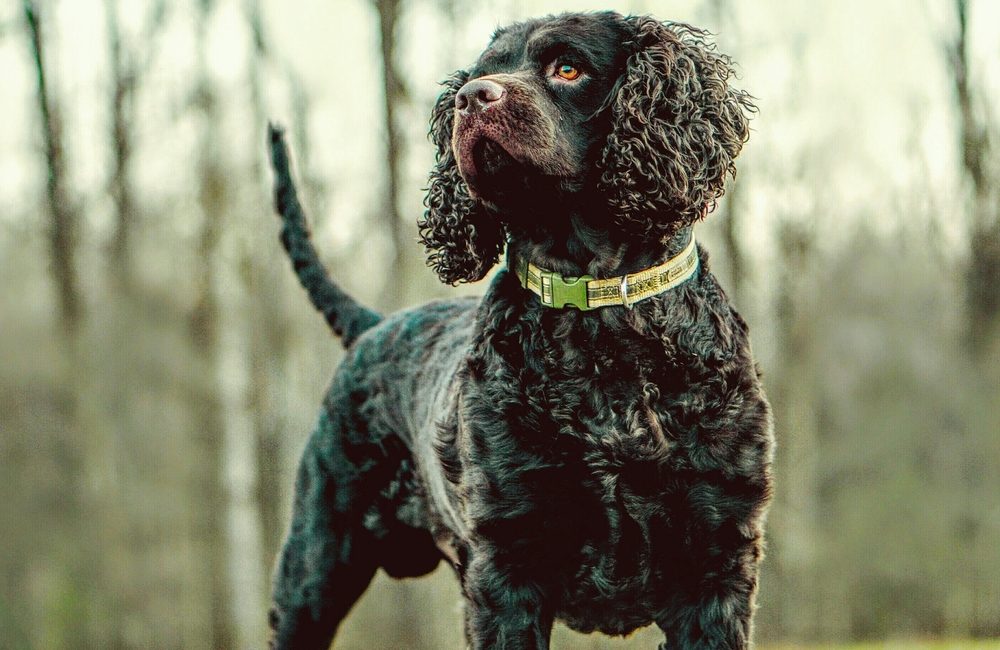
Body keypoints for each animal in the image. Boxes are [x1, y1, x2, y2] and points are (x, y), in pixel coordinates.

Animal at [266, 10, 772, 648]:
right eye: (480, 74)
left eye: (568, 67)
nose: (470, 99)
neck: (597, 319)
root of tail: (373, 326)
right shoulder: (508, 564)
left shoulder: (716, 563)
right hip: (314, 569)